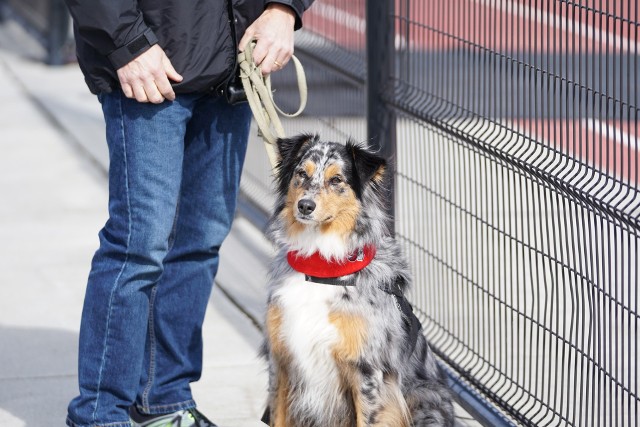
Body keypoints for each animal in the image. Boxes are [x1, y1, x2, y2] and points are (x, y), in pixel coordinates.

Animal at [260, 135, 456, 427]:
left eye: (336, 180)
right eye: (301, 173)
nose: (305, 206)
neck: (322, 268)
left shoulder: (367, 373)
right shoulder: (281, 361)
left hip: (425, 400)